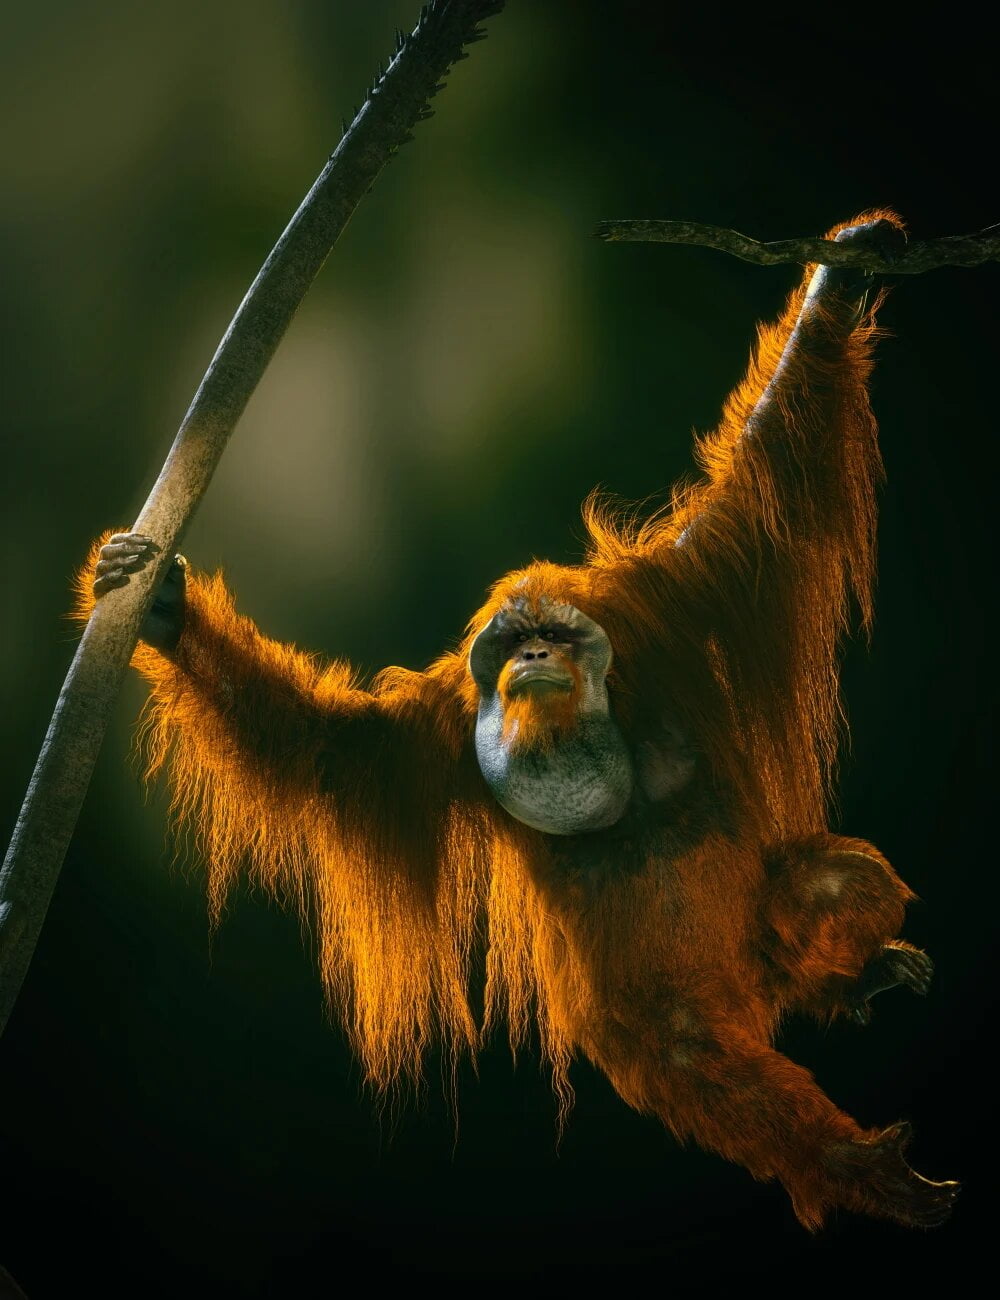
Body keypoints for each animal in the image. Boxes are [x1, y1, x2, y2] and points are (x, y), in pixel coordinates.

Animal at [78, 212, 959, 1231]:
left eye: (555, 636)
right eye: (514, 643)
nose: (533, 658)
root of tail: (757, 996)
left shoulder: (681, 599)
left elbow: (767, 474)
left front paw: (840, 279)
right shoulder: (436, 740)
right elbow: (328, 749)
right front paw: (165, 612)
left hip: (761, 943)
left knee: (836, 883)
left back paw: (851, 989)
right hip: (686, 1007)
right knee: (690, 1056)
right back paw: (848, 1147)